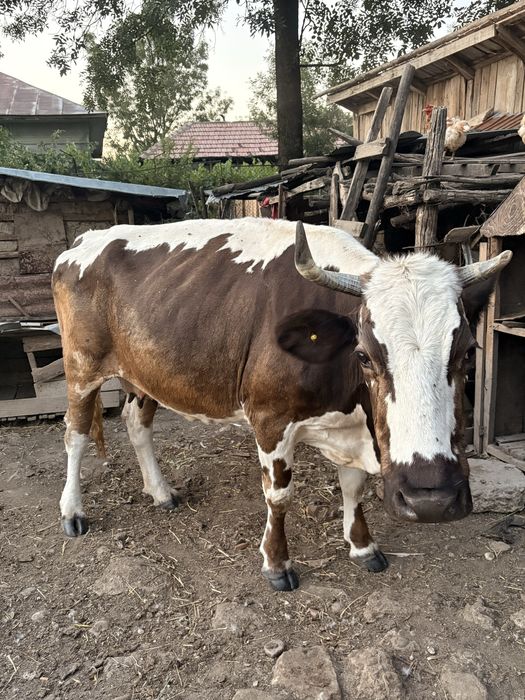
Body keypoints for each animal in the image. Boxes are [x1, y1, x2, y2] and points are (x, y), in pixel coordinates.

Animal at [52, 218, 511, 591]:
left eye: (467, 352)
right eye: (364, 355)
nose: (430, 499)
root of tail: (85, 240)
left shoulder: (353, 427)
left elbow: (353, 486)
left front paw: (363, 546)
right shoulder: (269, 418)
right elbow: (278, 496)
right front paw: (276, 563)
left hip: (147, 372)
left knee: (136, 422)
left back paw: (161, 492)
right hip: (81, 366)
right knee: (75, 435)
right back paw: (73, 512)